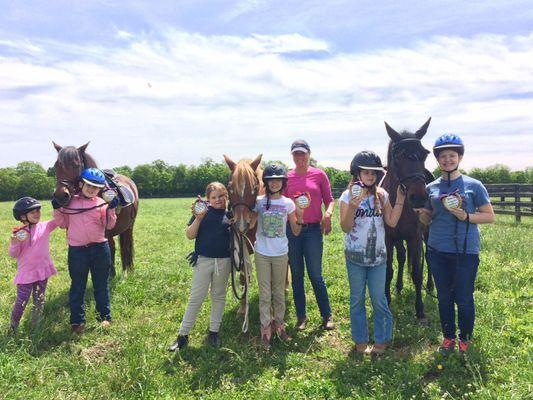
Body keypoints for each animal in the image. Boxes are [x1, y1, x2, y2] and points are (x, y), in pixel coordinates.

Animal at [51, 143, 138, 278]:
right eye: (56, 165)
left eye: (77, 165)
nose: (61, 196)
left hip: (129, 227)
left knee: (124, 247)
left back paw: (125, 272)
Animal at [380, 119, 434, 322]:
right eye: (399, 155)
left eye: (424, 154)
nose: (419, 198)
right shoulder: (388, 238)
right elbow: (388, 270)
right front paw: (386, 300)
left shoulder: (415, 237)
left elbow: (417, 273)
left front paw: (420, 310)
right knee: (402, 257)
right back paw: (399, 286)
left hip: (427, 233)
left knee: (429, 258)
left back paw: (430, 286)